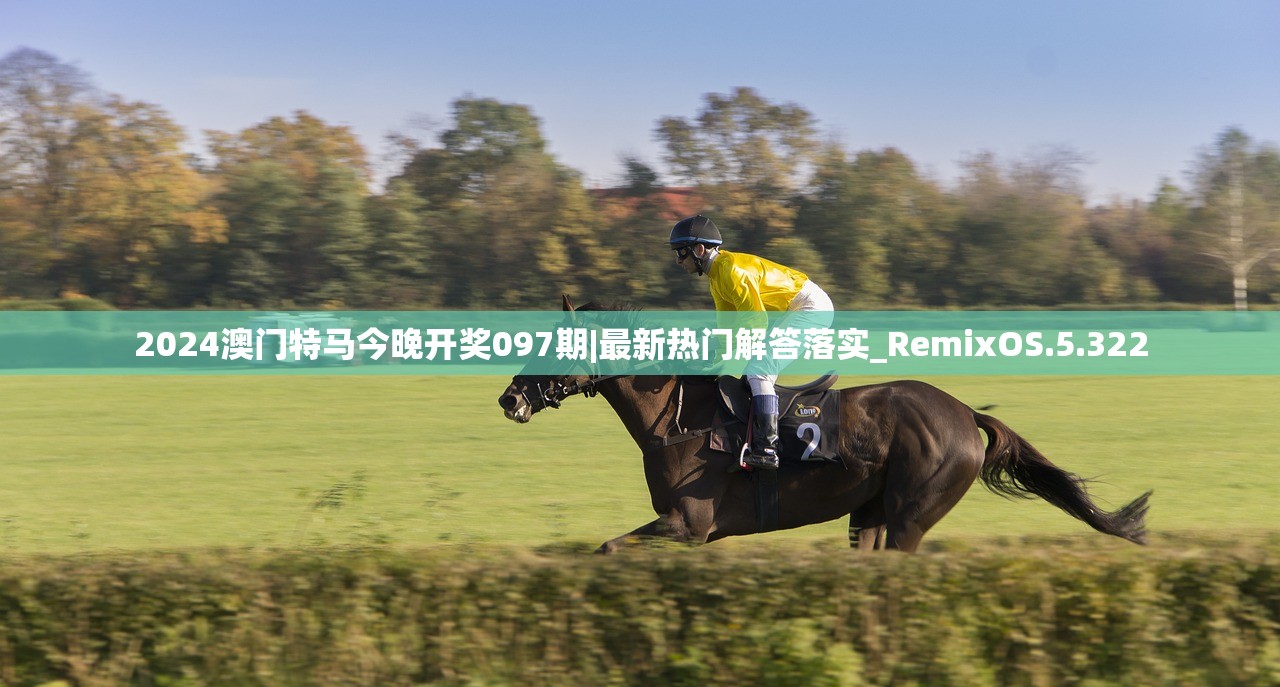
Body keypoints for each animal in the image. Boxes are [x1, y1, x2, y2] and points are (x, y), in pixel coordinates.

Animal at [496, 296, 1152, 555]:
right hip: (870, 514)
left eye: (556, 344)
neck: (677, 419)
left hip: (912, 513)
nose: (509, 399)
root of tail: (966, 413)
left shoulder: (688, 524)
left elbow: (608, 547)